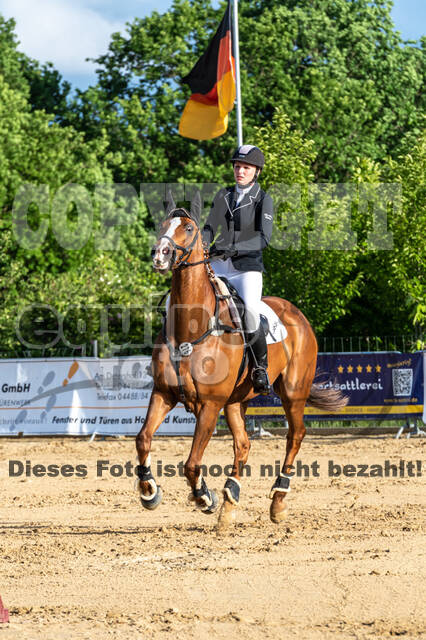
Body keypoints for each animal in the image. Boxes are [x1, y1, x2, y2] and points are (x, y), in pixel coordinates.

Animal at [135, 198, 347, 527]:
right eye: (163, 226)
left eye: (189, 228)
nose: (160, 254)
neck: (192, 326)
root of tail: (297, 314)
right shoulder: (164, 394)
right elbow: (143, 439)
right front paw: (149, 491)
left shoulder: (210, 405)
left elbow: (192, 463)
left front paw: (204, 497)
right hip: (236, 401)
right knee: (244, 444)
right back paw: (230, 498)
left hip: (293, 392)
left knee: (295, 435)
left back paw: (277, 499)